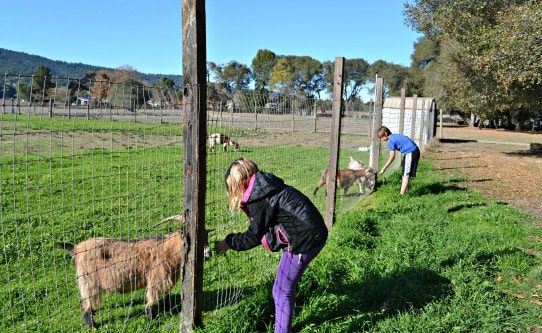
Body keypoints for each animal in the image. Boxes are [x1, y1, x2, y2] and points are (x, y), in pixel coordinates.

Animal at [58, 215, 211, 326]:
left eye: (206, 236)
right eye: (194, 238)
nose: (208, 252)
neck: (167, 250)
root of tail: (76, 249)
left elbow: (166, 296)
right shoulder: (155, 278)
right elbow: (152, 300)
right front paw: (152, 319)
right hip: (88, 281)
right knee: (86, 305)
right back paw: (92, 325)